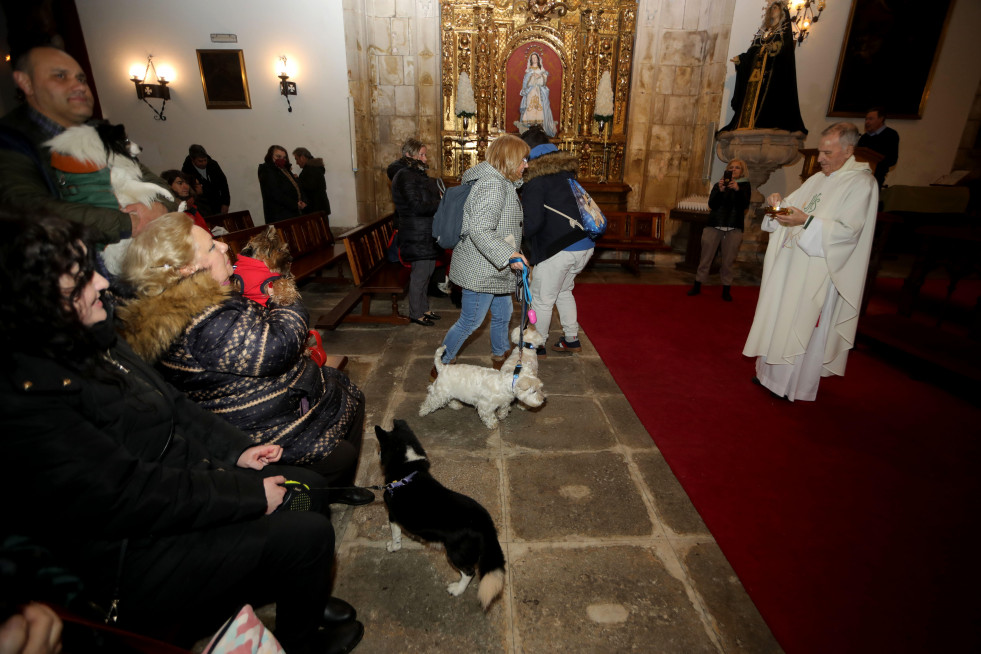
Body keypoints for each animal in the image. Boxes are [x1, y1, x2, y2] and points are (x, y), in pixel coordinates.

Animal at [420, 344, 548, 430]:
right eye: (533, 391)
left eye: (540, 387)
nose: (543, 399)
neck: (505, 384)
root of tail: (442, 368)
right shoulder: (485, 405)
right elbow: (489, 416)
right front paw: (494, 424)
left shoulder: (504, 401)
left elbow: (504, 409)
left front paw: (502, 415)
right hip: (439, 394)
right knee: (429, 402)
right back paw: (422, 412)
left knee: (450, 399)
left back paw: (456, 405)